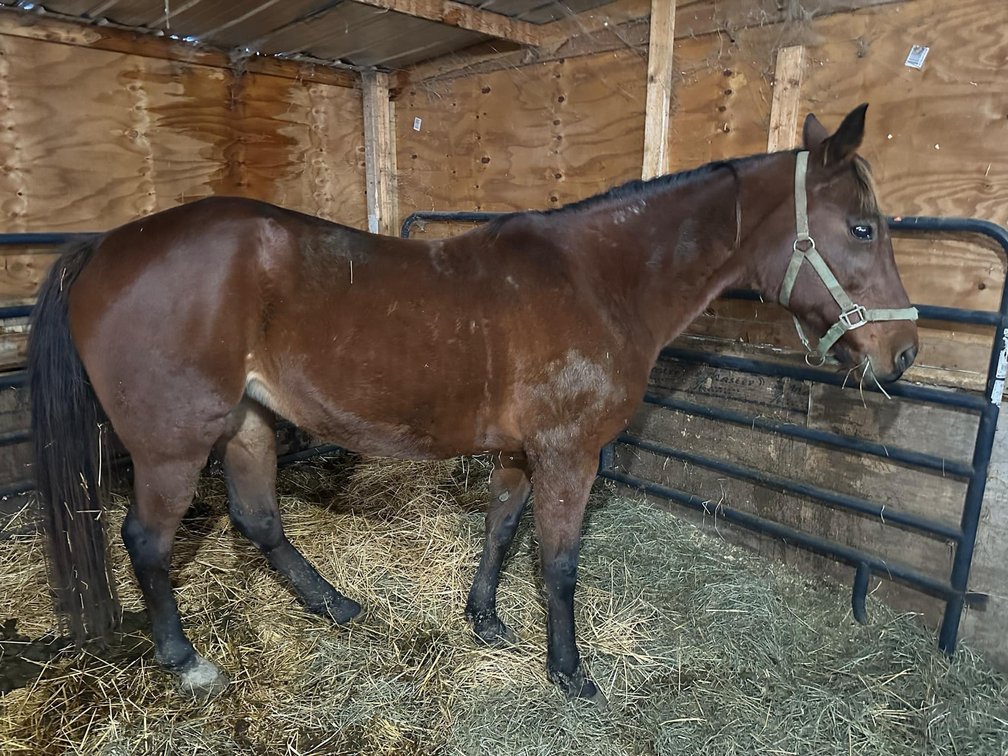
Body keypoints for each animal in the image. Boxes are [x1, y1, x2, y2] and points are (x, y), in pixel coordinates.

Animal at [28, 104, 918, 703]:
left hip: (248, 423)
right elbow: (559, 563)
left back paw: (336, 604)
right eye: (862, 228)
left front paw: (485, 620)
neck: (598, 282)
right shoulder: (569, 455)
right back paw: (185, 660)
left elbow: (499, 529)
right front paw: (569, 672)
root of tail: (104, 247)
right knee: (146, 540)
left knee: (258, 519)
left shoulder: (523, 453)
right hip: (174, 444)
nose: (902, 353)